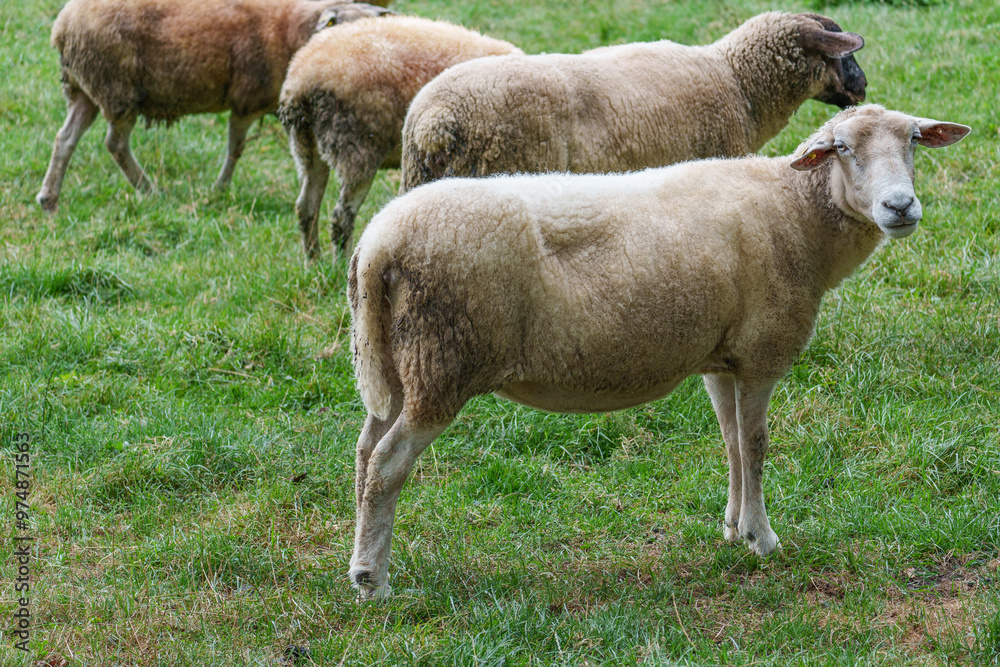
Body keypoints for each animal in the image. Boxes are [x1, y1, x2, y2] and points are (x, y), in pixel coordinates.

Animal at [35, 0, 393, 213]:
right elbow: (235, 149)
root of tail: (62, 25)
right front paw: (220, 188)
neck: (292, 29)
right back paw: (148, 189)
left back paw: (49, 197)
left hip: (86, 88)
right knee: (115, 143)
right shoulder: (246, 101)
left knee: (65, 138)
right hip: (117, 88)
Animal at [277, 16, 521, 259]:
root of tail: (300, 81)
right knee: (341, 216)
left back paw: (314, 261)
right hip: (356, 148)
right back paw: (340, 262)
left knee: (306, 207)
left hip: (307, 146)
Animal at [345, 105, 970, 598]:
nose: (900, 207)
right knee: (389, 462)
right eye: (841, 148)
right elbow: (757, 445)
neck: (795, 212)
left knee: (365, 450)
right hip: (442, 362)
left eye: (914, 140)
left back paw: (359, 556)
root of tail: (378, 244)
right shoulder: (762, 352)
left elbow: (731, 441)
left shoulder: (722, 358)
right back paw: (373, 581)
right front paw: (763, 538)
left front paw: (732, 527)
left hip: (391, 362)